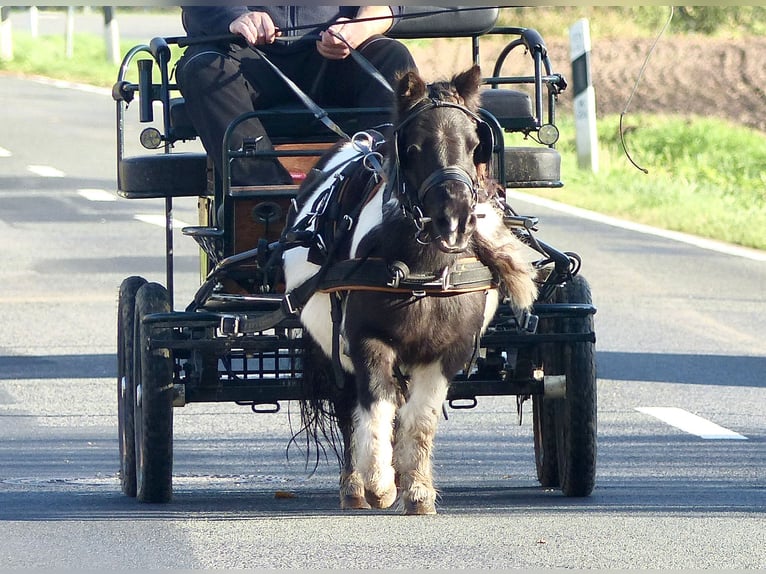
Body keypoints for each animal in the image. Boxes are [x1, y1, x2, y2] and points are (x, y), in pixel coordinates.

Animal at [282, 65, 540, 516]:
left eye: (474, 145)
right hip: (333, 349)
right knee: (350, 409)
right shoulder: (366, 343)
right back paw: (355, 487)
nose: (455, 221)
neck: (423, 274)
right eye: (415, 147)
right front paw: (380, 483)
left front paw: (417, 489)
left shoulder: (448, 351)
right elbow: (375, 408)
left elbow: (419, 419)